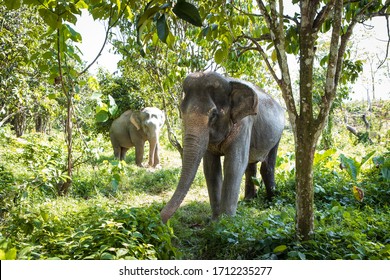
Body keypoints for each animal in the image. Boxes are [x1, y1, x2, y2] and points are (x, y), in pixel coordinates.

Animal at [160, 71, 284, 223]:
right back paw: (248, 201)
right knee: (250, 165)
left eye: (214, 114)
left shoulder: (243, 123)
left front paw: (226, 222)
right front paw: (215, 220)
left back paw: (271, 201)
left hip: (278, 134)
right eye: (181, 112)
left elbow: (234, 164)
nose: (161, 220)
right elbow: (211, 168)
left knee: (267, 166)